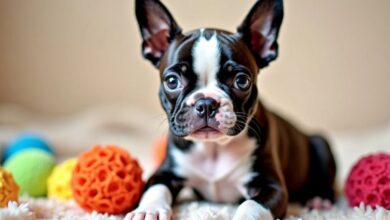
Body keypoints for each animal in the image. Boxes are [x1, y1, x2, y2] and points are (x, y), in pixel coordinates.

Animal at [127, 0, 336, 219]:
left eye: (241, 81)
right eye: (172, 81)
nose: (206, 104)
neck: (213, 149)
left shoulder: (273, 187)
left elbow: (251, 205)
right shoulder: (165, 172)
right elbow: (155, 189)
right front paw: (148, 210)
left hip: (320, 144)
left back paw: (319, 198)